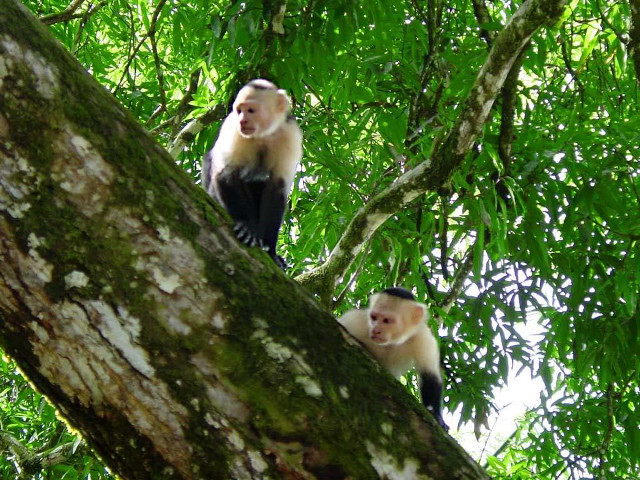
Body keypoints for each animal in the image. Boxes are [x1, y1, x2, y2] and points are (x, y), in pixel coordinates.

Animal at [201, 79, 302, 269]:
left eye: (251, 110)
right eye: (239, 110)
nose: (243, 121)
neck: (263, 134)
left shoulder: (290, 134)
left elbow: (276, 187)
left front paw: (271, 252)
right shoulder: (232, 129)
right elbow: (225, 173)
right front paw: (246, 226)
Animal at [338, 287, 448, 430]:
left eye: (386, 320)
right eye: (374, 317)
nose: (375, 330)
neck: (392, 341)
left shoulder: (423, 337)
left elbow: (430, 376)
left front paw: (436, 415)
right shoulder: (356, 321)